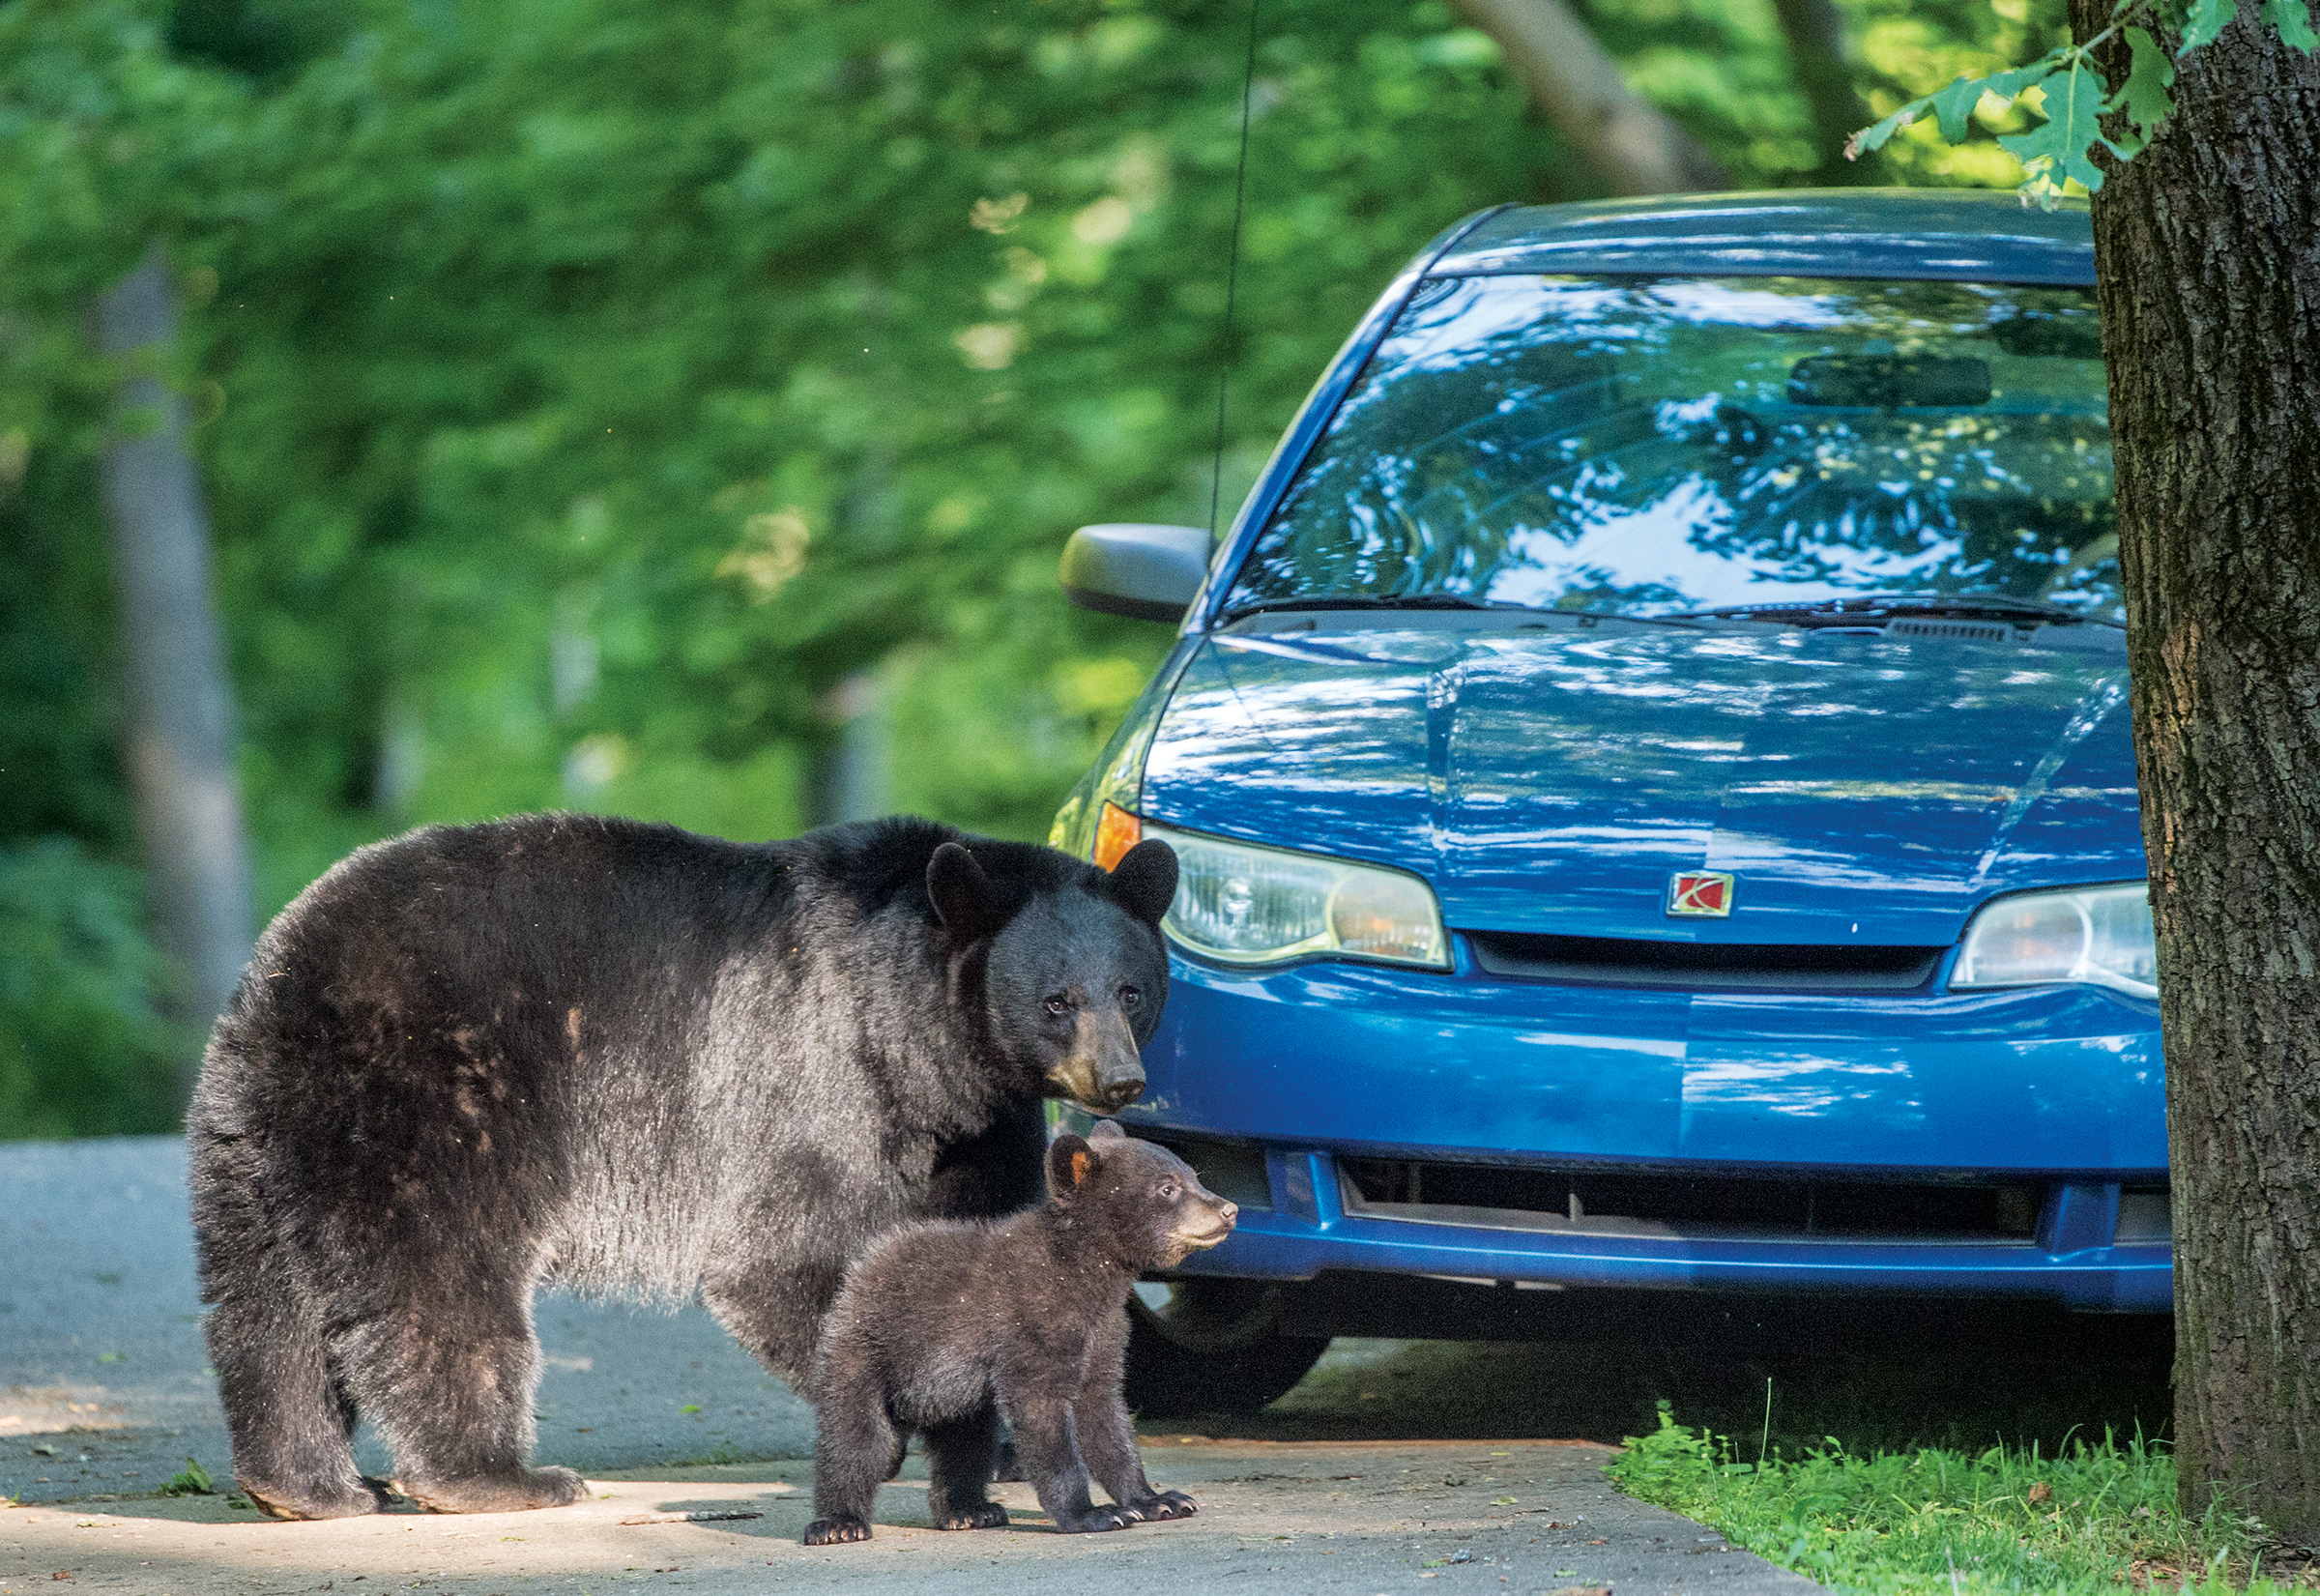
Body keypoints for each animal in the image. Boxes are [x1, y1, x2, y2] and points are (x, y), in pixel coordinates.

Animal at [181, 811, 1178, 1522]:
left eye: (1133, 988)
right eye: (1056, 1001)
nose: (1122, 1079)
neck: (921, 1038)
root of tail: (281, 967)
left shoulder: (978, 1125)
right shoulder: (813, 1077)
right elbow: (788, 1260)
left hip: (262, 1140)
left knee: (266, 1305)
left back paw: (308, 1484)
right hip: (429, 1103)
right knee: (444, 1287)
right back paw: (497, 1475)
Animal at [802, 1117, 1233, 1540]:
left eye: (1194, 1176)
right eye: (1167, 1188)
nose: (1229, 1210)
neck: (1084, 1275)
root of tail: (862, 1266)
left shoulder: (1105, 1333)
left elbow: (1105, 1415)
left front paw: (1158, 1500)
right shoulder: (1031, 1325)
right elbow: (1044, 1416)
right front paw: (1090, 1514)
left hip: (955, 1396)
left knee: (967, 1443)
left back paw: (969, 1509)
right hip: (866, 1349)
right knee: (857, 1437)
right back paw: (839, 1522)